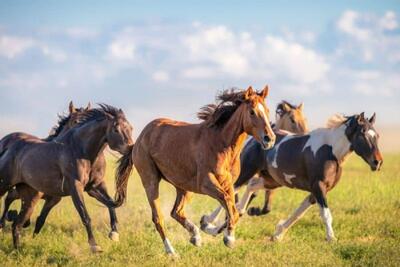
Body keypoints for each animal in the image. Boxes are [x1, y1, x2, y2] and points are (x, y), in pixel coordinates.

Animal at [0, 104, 134, 253]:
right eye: (116, 129)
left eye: (131, 128)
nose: (130, 148)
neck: (79, 150)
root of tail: (8, 149)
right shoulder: (75, 187)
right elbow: (85, 215)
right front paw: (94, 246)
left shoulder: (93, 187)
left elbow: (110, 203)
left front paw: (114, 234)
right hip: (6, 185)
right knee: (11, 206)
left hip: (29, 198)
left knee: (17, 224)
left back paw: (18, 251)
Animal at [115, 87, 276, 256]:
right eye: (252, 112)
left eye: (267, 110)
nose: (270, 139)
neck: (221, 145)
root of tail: (139, 140)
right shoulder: (206, 184)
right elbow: (228, 203)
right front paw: (228, 238)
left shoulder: (229, 184)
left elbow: (233, 208)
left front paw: (214, 229)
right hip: (151, 181)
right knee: (158, 218)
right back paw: (172, 252)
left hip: (184, 187)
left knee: (176, 212)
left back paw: (195, 237)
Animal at [200, 100, 310, 228]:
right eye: (292, 120)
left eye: (304, 119)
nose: (306, 135)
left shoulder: (269, 181)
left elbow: (266, 206)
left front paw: (252, 210)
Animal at [203, 112, 382, 242]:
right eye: (363, 134)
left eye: (377, 135)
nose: (378, 162)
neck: (331, 151)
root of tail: (252, 139)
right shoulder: (319, 187)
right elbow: (326, 214)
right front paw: (331, 238)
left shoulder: (315, 191)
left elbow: (298, 214)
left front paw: (277, 234)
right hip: (247, 171)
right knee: (231, 191)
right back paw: (208, 224)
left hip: (271, 180)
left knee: (249, 188)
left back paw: (234, 215)